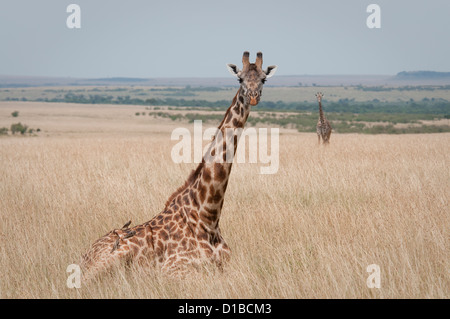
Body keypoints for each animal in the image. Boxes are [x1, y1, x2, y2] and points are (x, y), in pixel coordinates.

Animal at [80, 51, 278, 282]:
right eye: (240, 78)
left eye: (263, 79)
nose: (253, 96)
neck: (208, 216)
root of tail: (85, 256)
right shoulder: (174, 268)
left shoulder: (228, 264)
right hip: (109, 260)